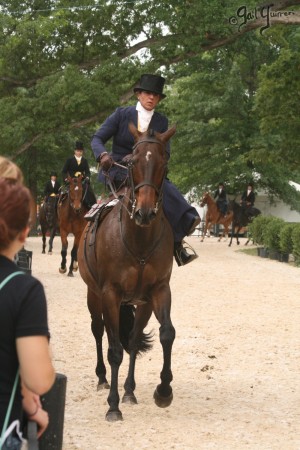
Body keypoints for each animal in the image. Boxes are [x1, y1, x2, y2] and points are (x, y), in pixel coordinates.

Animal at [78, 123, 176, 422]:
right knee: (99, 331)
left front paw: (163, 391)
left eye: (164, 162)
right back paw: (102, 379)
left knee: (132, 340)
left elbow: (166, 333)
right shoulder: (110, 293)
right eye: (132, 162)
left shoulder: (158, 290)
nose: (144, 212)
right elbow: (114, 350)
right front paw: (112, 406)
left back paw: (130, 391)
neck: (139, 238)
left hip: (141, 303)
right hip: (94, 294)